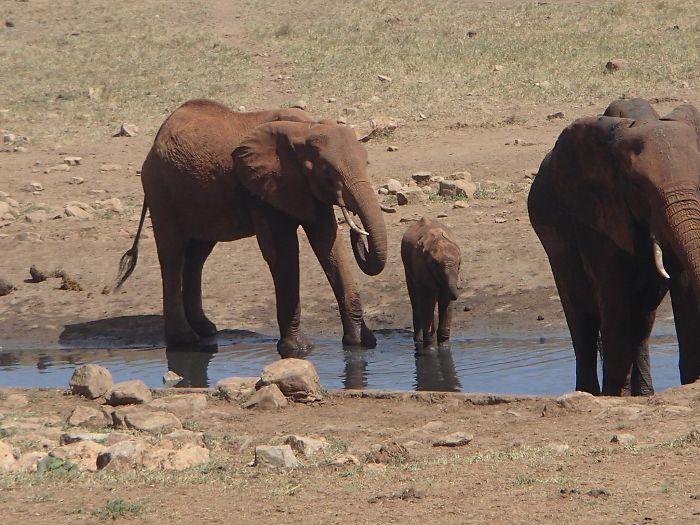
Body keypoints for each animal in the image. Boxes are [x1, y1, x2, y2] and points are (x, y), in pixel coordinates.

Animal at [112, 99, 392, 356]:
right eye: (326, 170)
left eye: (367, 163)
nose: (358, 233)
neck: (304, 128)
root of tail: (154, 143)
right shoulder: (261, 187)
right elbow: (282, 252)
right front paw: (298, 350)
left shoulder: (304, 188)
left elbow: (329, 245)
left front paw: (361, 344)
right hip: (160, 190)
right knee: (172, 254)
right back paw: (185, 341)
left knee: (197, 255)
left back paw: (207, 330)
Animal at [402, 215, 462, 346]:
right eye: (435, 265)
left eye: (459, 264)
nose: (459, 288)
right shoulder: (421, 264)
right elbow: (428, 297)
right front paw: (430, 346)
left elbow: (445, 299)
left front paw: (444, 345)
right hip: (407, 266)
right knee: (416, 299)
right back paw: (419, 341)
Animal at [528, 98, 700, 396]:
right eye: (637, 185)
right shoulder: (596, 214)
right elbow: (614, 294)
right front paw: (615, 396)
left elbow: (685, 287)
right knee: (582, 321)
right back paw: (590, 393)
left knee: (642, 321)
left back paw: (644, 394)